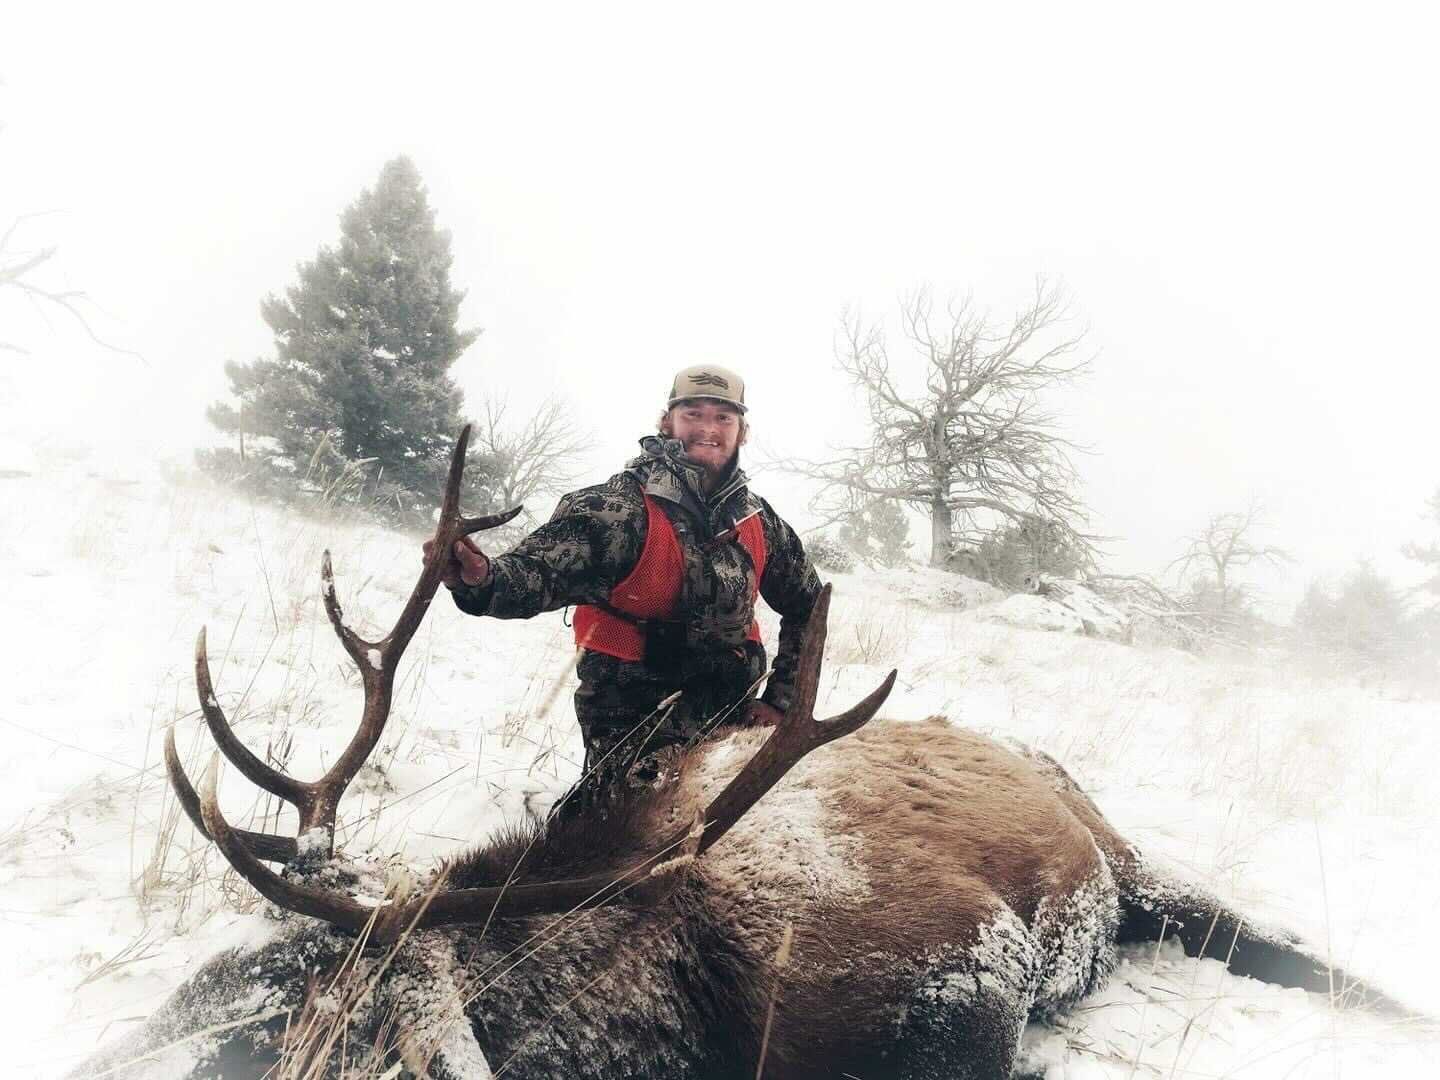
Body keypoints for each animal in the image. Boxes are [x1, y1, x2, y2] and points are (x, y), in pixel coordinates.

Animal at [75, 432, 1405, 1080]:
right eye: (235, 966)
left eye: (302, 1003)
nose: (110, 1046)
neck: (685, 1004)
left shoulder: (970, 975)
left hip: (1125, 857)